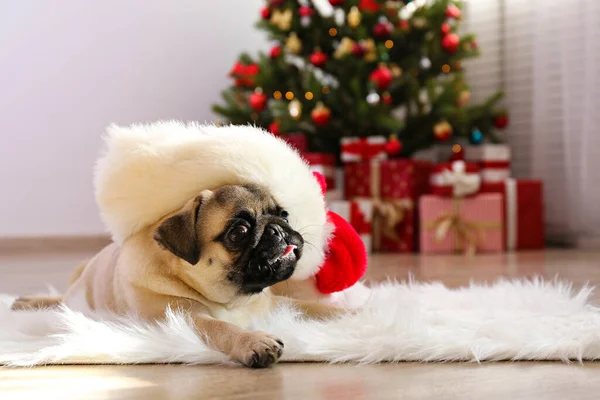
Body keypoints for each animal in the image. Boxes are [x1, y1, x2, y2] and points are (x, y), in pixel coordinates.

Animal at [11, 184, 344, 368]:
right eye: (239, 232)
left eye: (284, 214)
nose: (278, 228)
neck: (235, 301)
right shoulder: (185, 316)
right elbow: (222, 328)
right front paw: (252, 341)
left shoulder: (274, 303)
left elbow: (313, 307)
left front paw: (351, 314)